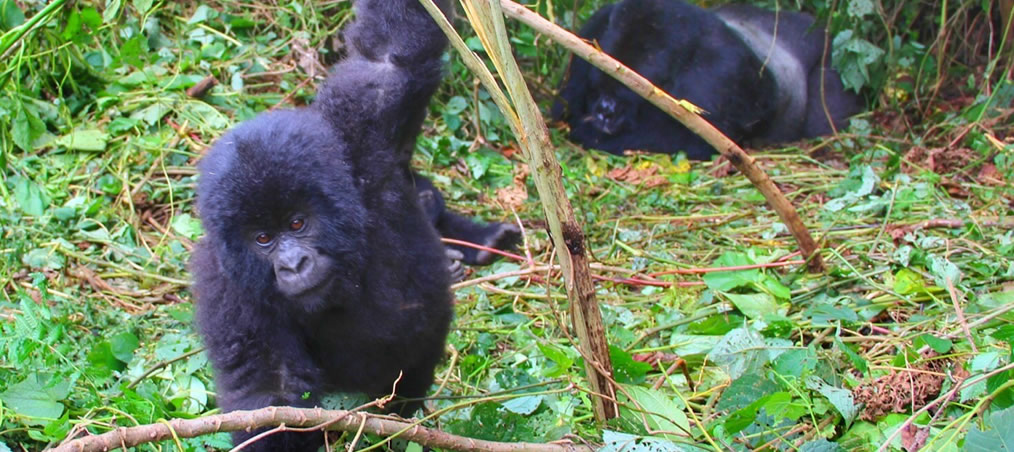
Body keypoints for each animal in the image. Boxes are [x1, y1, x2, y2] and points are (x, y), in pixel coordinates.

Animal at [189, 1, 456, 449]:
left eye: (297, 223)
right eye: (263, 238)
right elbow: (271, 393)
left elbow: (391, 53)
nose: (294, 264)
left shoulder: (361, 131)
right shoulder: (226, 285)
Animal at [555, 0, 863, 160]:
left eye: (630, 92)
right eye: (599, 87)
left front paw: (587, 130)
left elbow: (691, 142)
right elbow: (565, 105)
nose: (604, 111)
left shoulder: (721, 70)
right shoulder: (593, 29)